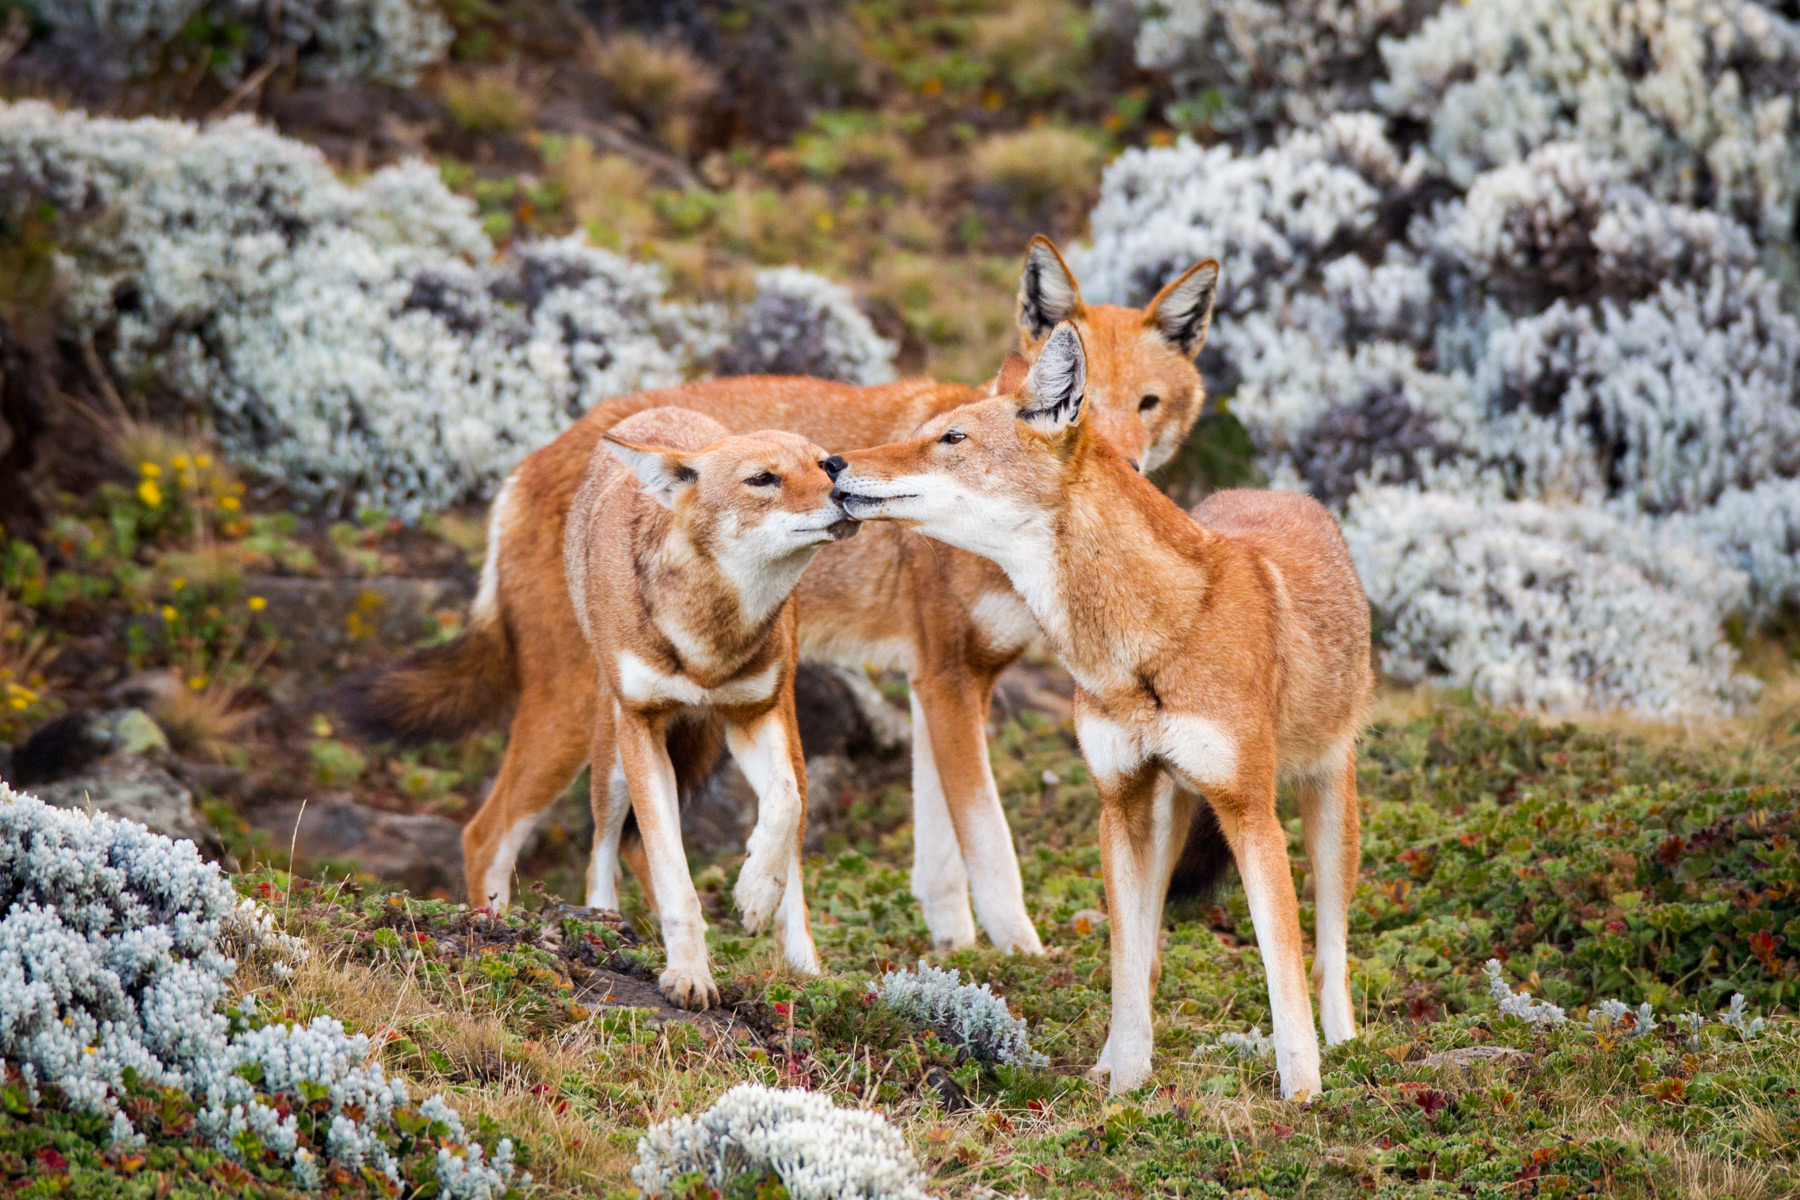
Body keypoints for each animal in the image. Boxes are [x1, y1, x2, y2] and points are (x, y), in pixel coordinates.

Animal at [831, 325, 1375, 1101]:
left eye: (951, 437)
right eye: (926, 431)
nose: (831, 461)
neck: (1149, 643)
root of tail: (1276, 492)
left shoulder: (1250, 812)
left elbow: (1283, 967)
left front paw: (1301, 1093)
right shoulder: (1117, 805)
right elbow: (1125, 965)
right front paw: (1123, 1082)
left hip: (1326, 807)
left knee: (1329, 949)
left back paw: (1347, 1045)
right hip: (1167, 813)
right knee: (1150, 955)